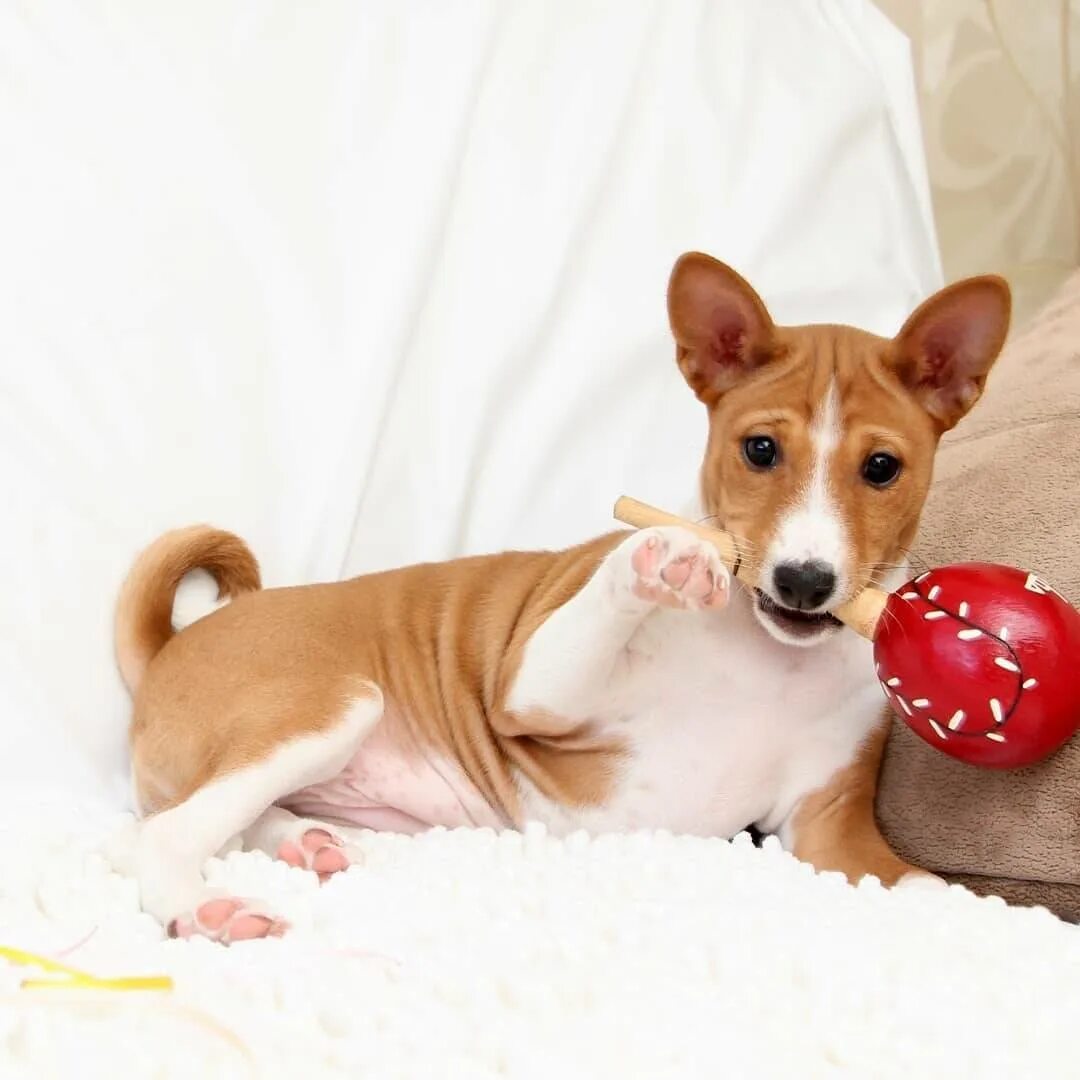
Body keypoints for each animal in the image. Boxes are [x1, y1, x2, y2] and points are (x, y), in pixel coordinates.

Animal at [113, 254, 1006, 946]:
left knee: (232, 813)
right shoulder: (531, 695)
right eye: (759, 450)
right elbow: (609, 585)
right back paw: (204, 907)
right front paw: (668, 553)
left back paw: (310, 842)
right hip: (335, 704)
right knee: (166, 828)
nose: (803, 580)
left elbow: (931, 888)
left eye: (882, 468)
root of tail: (171, 645)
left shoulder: (828, 826)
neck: (769, 662)